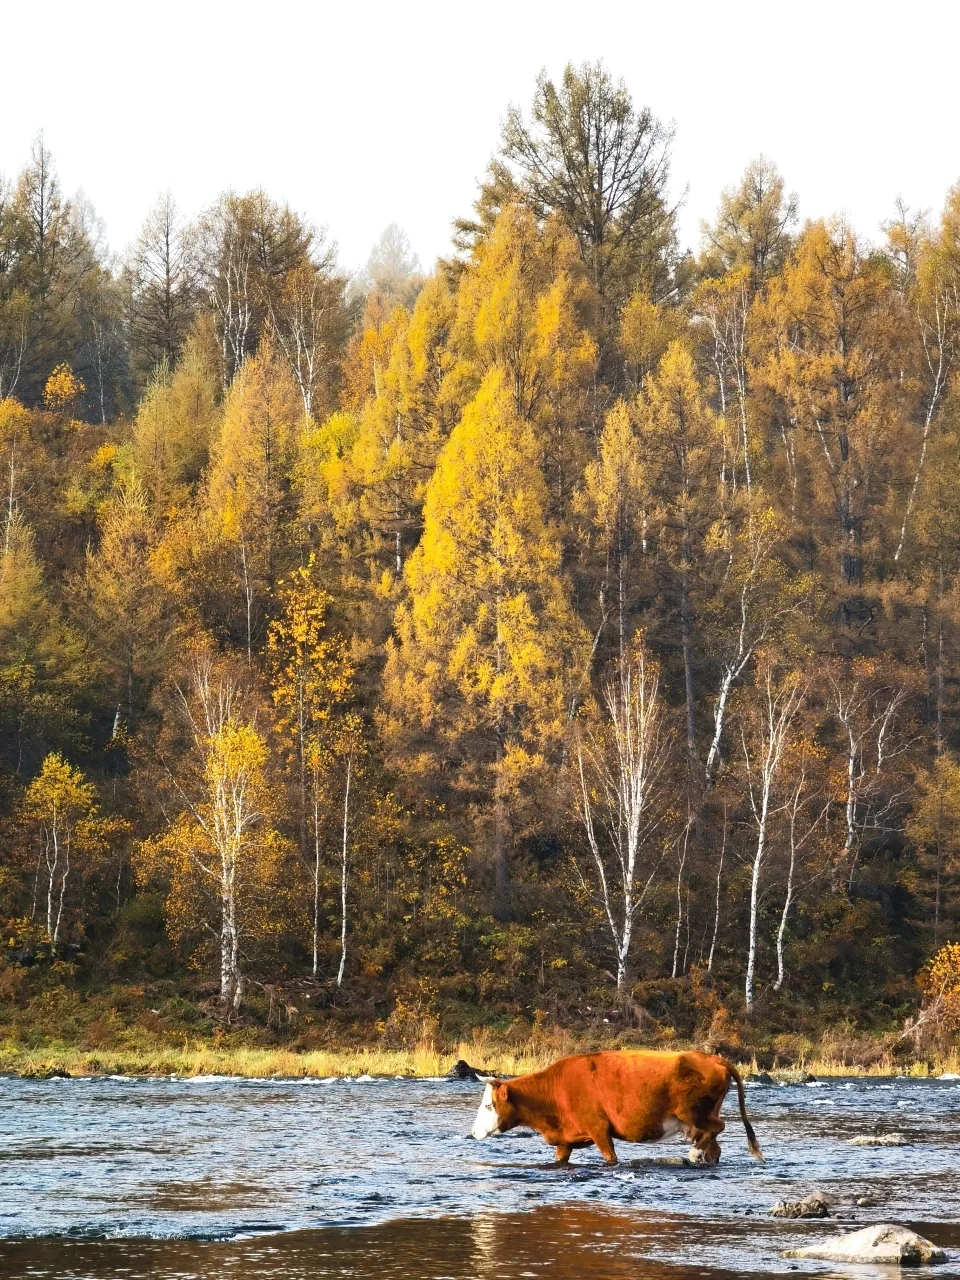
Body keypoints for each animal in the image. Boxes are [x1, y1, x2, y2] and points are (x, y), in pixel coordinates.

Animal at [471, 1049, 762, 1172]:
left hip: (694, 1113)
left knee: (718, 1128)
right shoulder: (565, 1140)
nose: (473, 1132)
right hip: (699, 1119)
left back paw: (691, 1154)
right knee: (714, 1145)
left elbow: (610, 1158)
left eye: (488, 1105)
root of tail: (714, 1058)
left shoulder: (599, 1129)